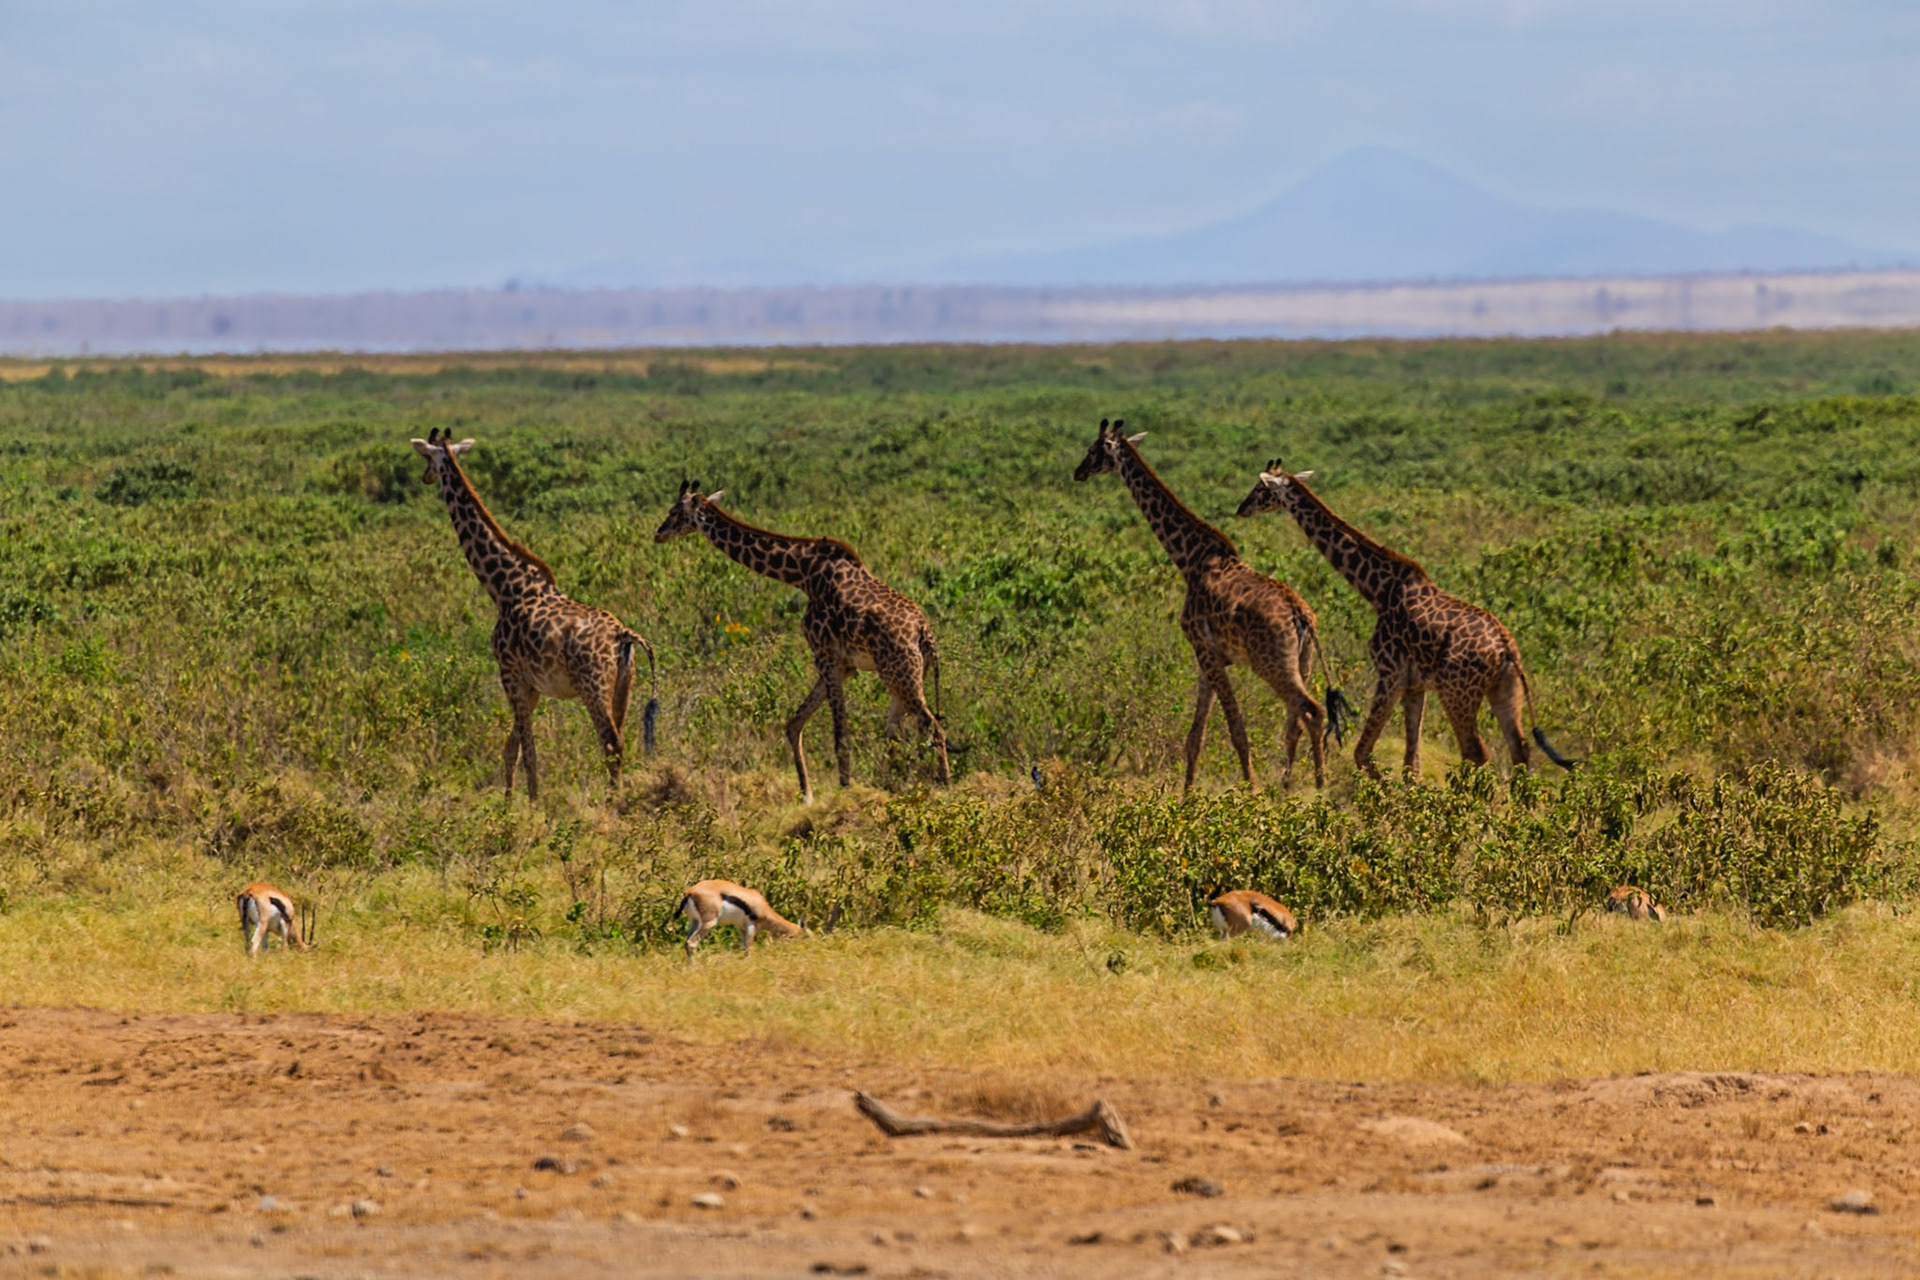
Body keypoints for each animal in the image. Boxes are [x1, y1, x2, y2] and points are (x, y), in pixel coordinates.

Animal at [412, 429, 655, 800]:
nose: (425, 477)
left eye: (426, 457)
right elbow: (511, 746)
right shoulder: (533, 684)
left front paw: (533, 802)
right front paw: (510, 801)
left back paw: (615, 804)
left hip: (593, 687)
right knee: (620, 742)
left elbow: (528, 749)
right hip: (624, 685)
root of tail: (623, 635)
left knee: (610, 744)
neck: (503, 586)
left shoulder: (509, 672)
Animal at [652, 480, 948, 804]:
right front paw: (807, 793)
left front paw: (844, 791)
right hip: (903, 674)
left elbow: (839, 734)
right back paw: (896, 784)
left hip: (900, 672)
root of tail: (925, 632)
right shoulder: (843, 665)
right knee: (898, 731)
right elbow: (794, 723)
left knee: (932, 728)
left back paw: (943, 787)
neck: (802, 574)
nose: (659, 533)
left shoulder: (826, 655)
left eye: (674, 511)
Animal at [1074, 419, 1329, 791]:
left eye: (1093, 450)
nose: (1078, 472)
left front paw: (1250, 790)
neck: (1189, 558)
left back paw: (1318, 786)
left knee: (1312, 710)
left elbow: (1236, 729)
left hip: (1272, 663)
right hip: (1303, 662)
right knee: (1297, 718)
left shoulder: (1206, 652)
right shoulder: (1207, 657)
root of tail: (1301, 616)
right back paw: (1295, 785)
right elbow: (1196, 735)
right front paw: (1186, 795)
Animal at [1236, 458, 1574, 779]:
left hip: (1458, 693)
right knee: (1520, 749)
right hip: (1504, 689)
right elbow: (1411, 763)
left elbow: (1362, 753)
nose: (1241, 508)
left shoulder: (1390, 673)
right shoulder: (1415, 685)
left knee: (1476, 752)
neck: (1377, 590)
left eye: (1260, 488)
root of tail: (1505, 649)